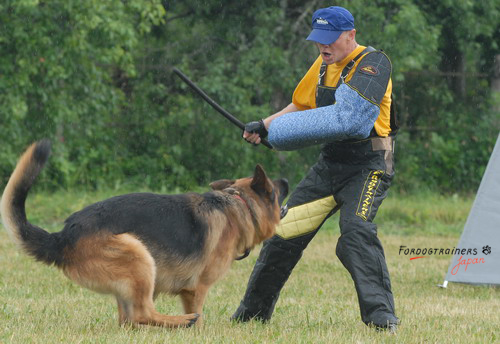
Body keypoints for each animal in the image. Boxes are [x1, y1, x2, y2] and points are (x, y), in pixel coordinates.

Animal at [0, 142, 290, 328]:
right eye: (274, 188)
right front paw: (198, 328)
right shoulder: (196, 289)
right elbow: (199, 313)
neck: (239, 205)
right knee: (142, 313)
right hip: (139, 255)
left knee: (127, 320)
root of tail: (63, 237)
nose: (287, 180)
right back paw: (181, 322)